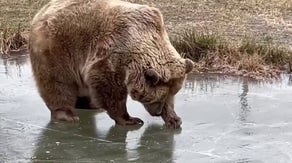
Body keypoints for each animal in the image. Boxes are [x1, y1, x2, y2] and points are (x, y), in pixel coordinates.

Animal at [28, 0, 194, 129]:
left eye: (169, 96)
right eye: (154, 99)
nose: (157, 112)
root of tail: (42, 11)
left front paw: (174, 119)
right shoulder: (111, 54)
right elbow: (109, 88)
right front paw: (130, 120)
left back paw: (90, 105)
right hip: (58, 49)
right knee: (58, 83)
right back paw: (66, 114)